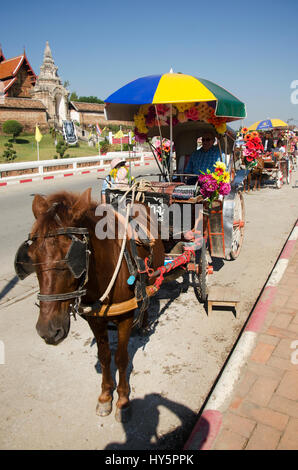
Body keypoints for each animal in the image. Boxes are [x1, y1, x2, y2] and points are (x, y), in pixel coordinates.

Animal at [22, 187, 164, 422]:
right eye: (32, 256)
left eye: (71, 257)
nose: (48, 330)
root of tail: (138, 199)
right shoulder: (94, 319)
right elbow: (105, 356)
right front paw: (106, 396)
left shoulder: (125, 317)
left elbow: (121, 358)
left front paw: (122, 401)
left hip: (153, 274)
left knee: (149, 295)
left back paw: (143, 322)